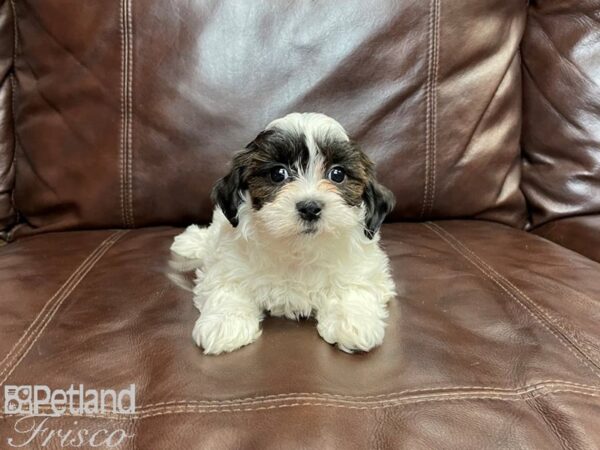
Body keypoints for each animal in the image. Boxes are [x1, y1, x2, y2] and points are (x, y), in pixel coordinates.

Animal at [172, 112, 398, 356]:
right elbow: (227, 286)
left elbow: (356, 284)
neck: (299, 248)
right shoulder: (226, 264)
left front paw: (354, 321)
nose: (310, 207)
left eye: (337, 174)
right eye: (278, 174)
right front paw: (225, 322)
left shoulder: (368, 267)